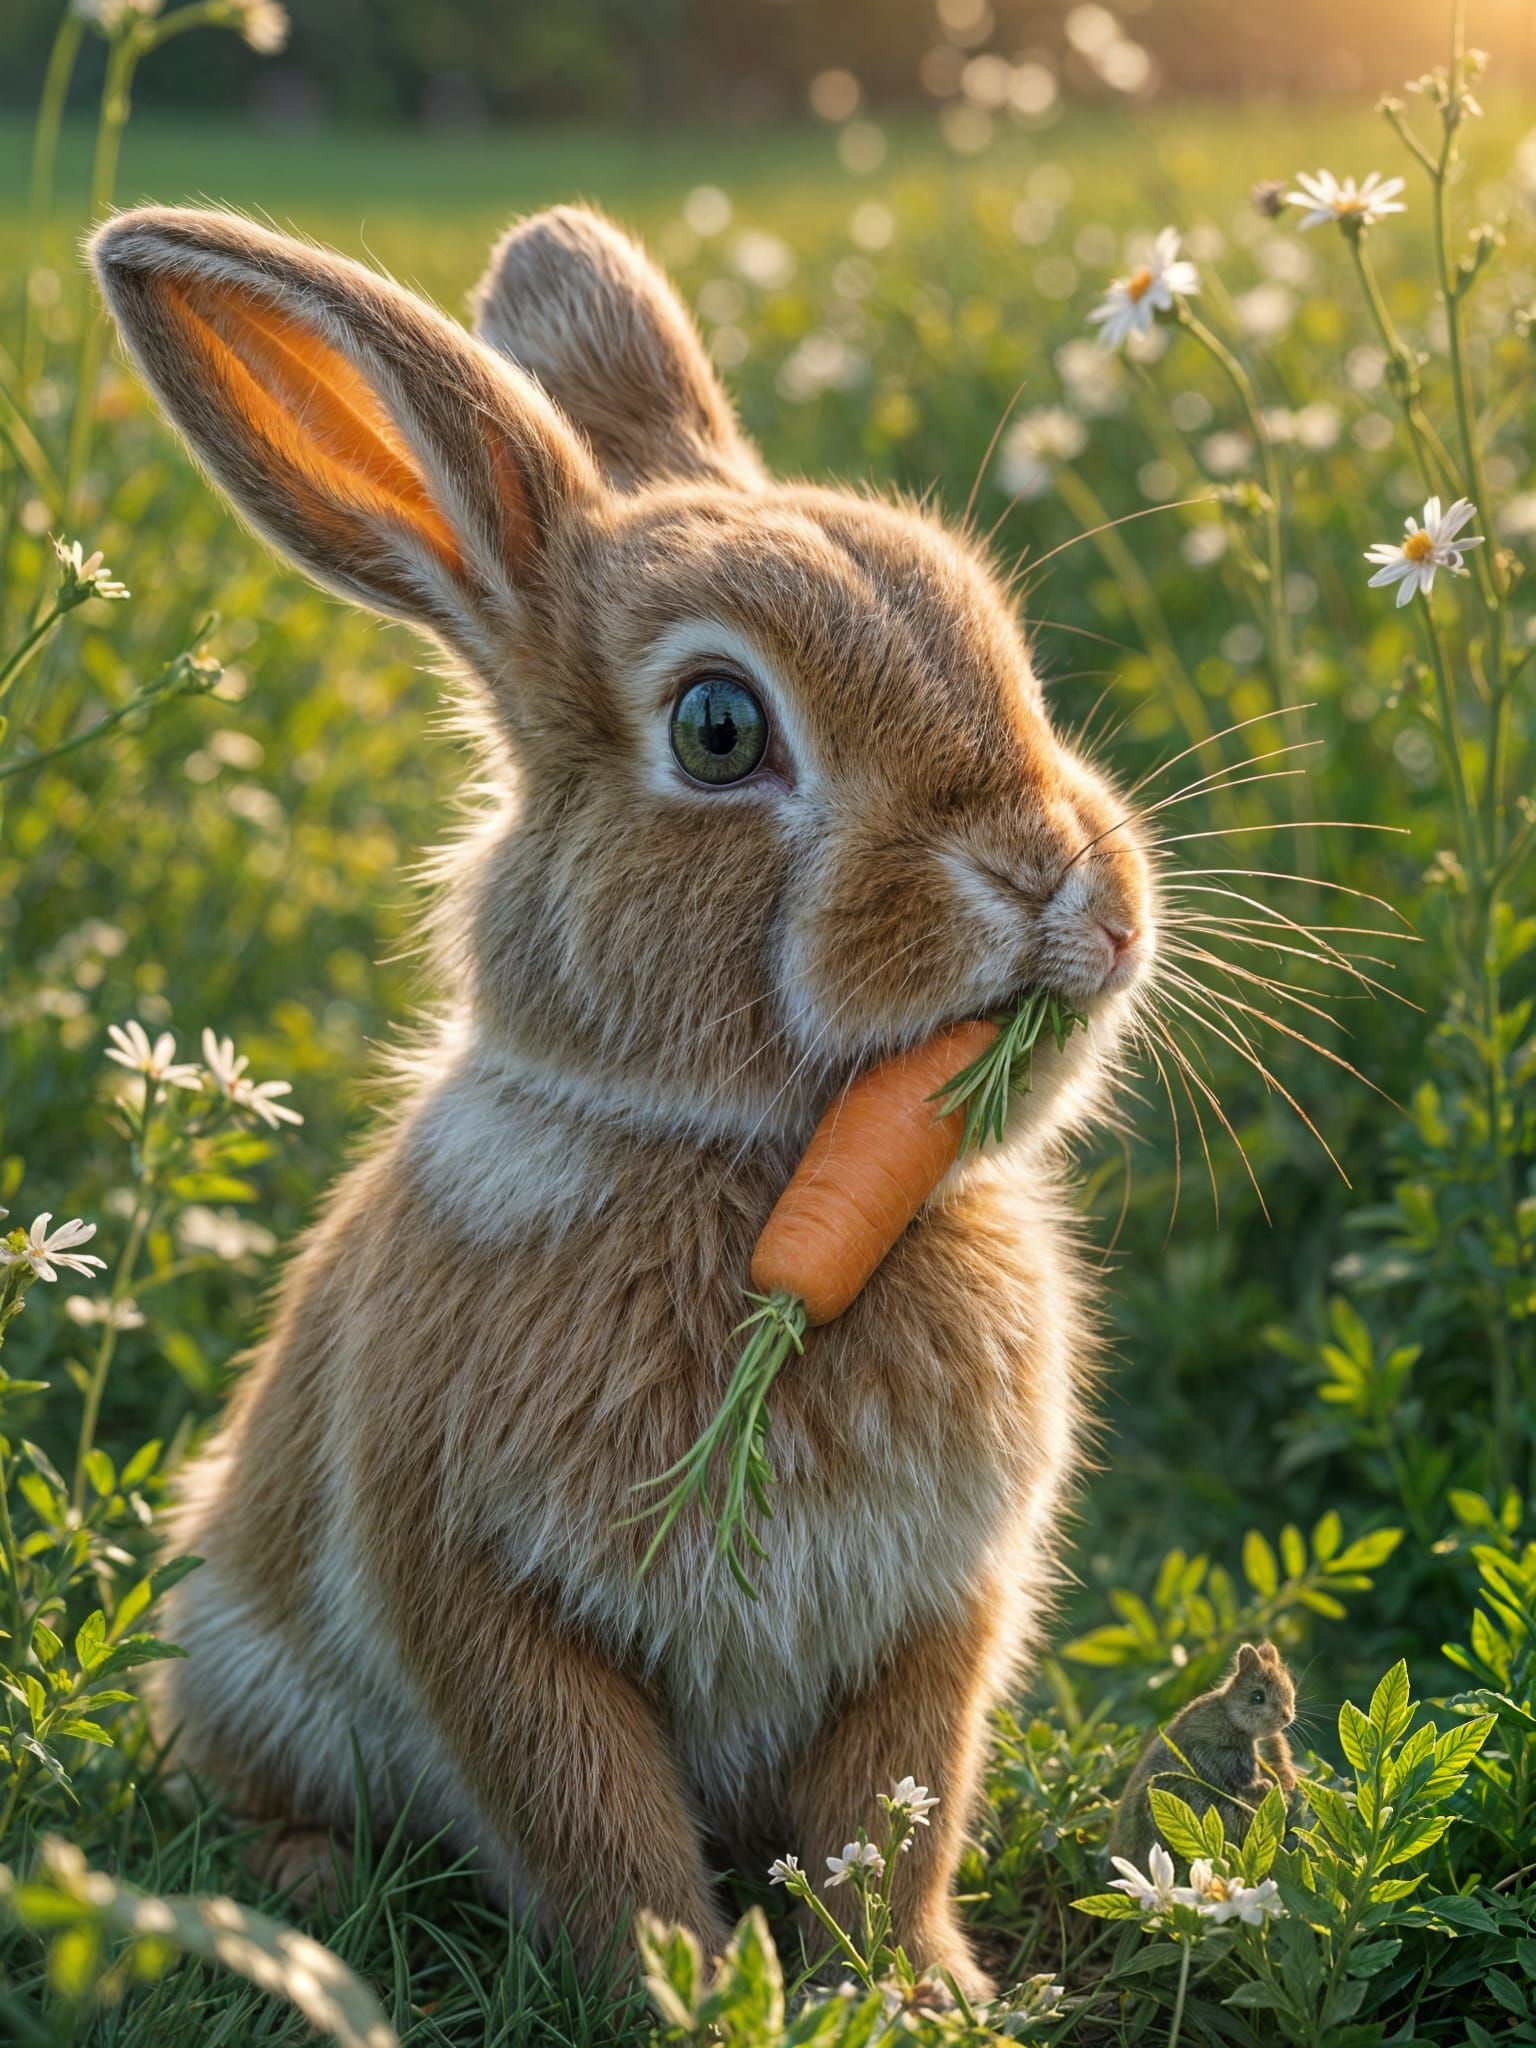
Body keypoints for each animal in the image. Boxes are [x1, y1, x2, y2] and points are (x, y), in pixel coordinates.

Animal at [89, 201, 1155, 1994]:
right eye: (718, 728)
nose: (1058, 873)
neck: (744, 1176)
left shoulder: (940, 1607)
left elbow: (899, 1806)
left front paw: (916, 1986)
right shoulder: (484, 1600)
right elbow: (588, 1817)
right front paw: (693, 1990)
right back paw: (305, 1884)